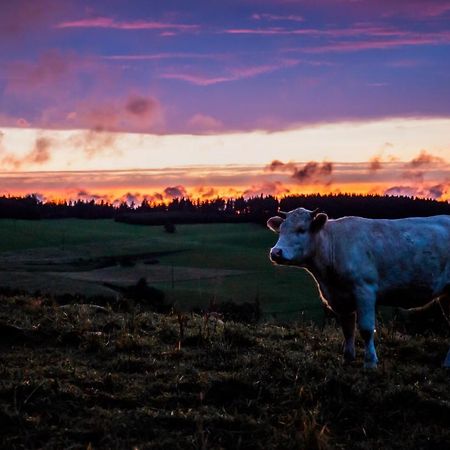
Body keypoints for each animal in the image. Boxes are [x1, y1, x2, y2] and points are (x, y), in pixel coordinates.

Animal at [268, 209, 450, 368]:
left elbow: (366, 329)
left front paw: (370, 362)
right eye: (281, 230)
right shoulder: (340, 298)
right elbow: (347, 328)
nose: (276, 252)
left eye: (301, 230)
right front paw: (348, 358)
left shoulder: (365, 290)